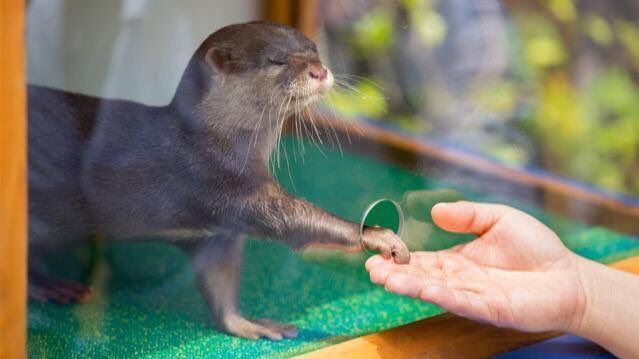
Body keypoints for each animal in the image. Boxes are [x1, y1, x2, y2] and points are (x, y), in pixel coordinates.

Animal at [28, 21, 410, 342]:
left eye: (314, 50)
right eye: (276, 61)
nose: (319, 70)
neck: (210, 143)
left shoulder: (219, 232)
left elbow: (220, 280)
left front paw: (249, 323)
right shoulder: (224, 185)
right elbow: (294, 220)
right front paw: (377, 235)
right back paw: (48, 287)